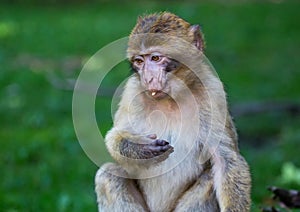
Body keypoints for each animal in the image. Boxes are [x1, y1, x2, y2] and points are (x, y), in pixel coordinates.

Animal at [95, 12, 252, 212]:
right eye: (139, 61)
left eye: (155, 58)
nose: (148, 78)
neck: (172, 98)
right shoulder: (132, 92)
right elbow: (114, 138)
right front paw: (138, 148)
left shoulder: (213, 92)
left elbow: (226, 160)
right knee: (108, 175)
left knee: (209, 177)